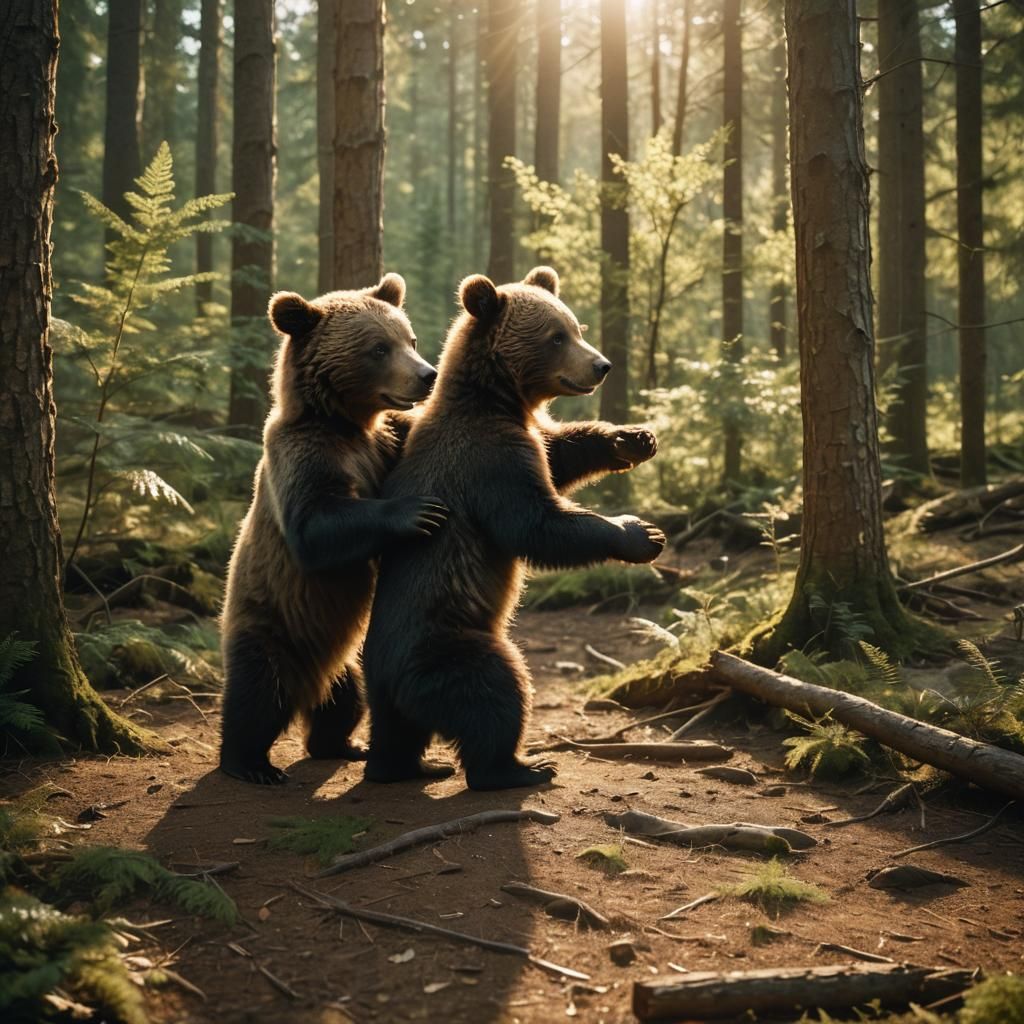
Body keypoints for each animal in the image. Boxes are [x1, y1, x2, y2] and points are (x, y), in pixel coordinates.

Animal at [218, 273, 448, 785]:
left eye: (411, 339)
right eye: (379, 348)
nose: (427, 374)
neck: (344, 423)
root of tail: (311, 681)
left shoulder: (385, 443)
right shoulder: (304, 457)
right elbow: (317, 524)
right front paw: (419, 511)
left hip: (340, 654)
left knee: (345, 701)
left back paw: (344, 743)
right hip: (270, 625)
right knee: (255, 695)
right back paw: (249, 763)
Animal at [361, 266, 665, 791]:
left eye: (577, 326)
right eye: (557, 336)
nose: (601, 365)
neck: (498, 401)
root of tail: (388, 678)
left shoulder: (529, 437)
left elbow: (562, 451)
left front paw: (632, 438)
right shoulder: (490, 460)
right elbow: (536, 524)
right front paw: (642, 534)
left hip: (387, 687)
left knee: (396, 730)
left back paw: (402, 765)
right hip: (449, 645)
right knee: (497, 692)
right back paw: (519, 768)